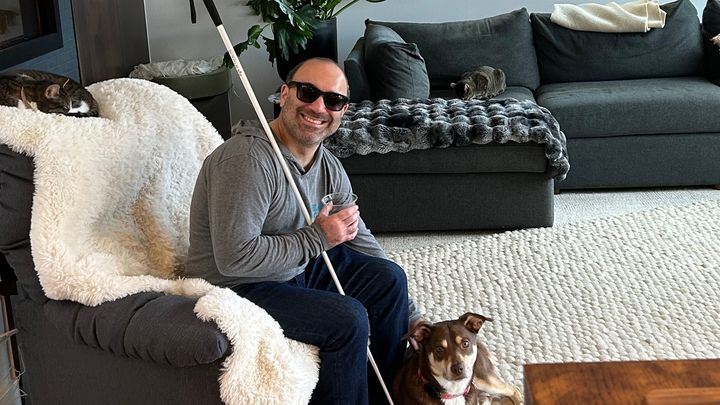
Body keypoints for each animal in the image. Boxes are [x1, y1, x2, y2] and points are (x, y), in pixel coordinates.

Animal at [393, 312, 522, 405]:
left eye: (465, 343)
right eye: (439, 349)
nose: (458, 369)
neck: (453, 393)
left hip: (483, 380)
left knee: (514, 390)